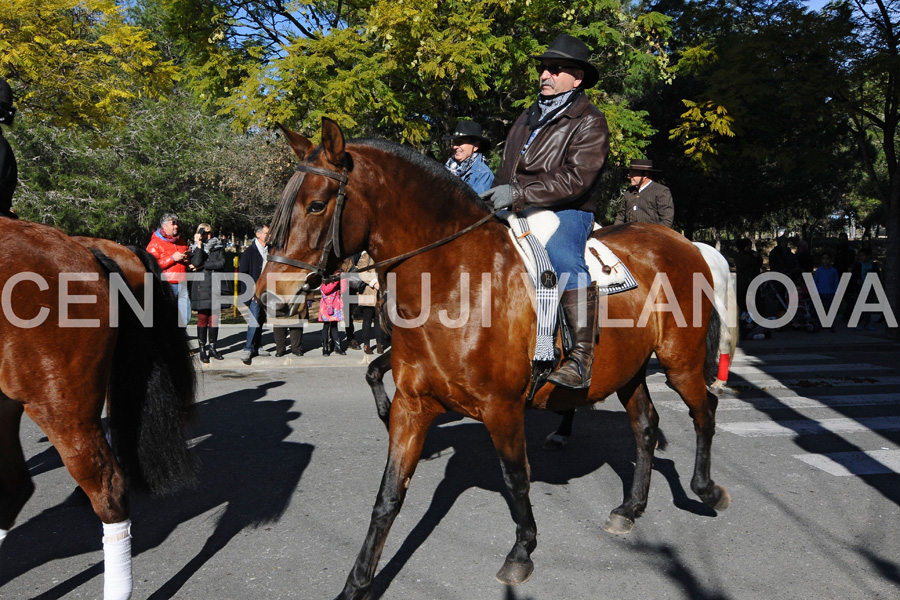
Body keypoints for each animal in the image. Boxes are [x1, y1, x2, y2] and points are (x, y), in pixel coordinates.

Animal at [258, 118, 732, 600]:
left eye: (317, 205)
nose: (270, 294)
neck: (454, 281)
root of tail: (684, 243)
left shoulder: (501, 408)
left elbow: (516, 478)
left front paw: (521, 552)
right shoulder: (413, 406)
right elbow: (389, 494)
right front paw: (356, 584)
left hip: (681, 363)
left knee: (705, 410)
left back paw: (706, 490)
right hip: (629, 371)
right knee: (646, 426)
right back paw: (631, 506)